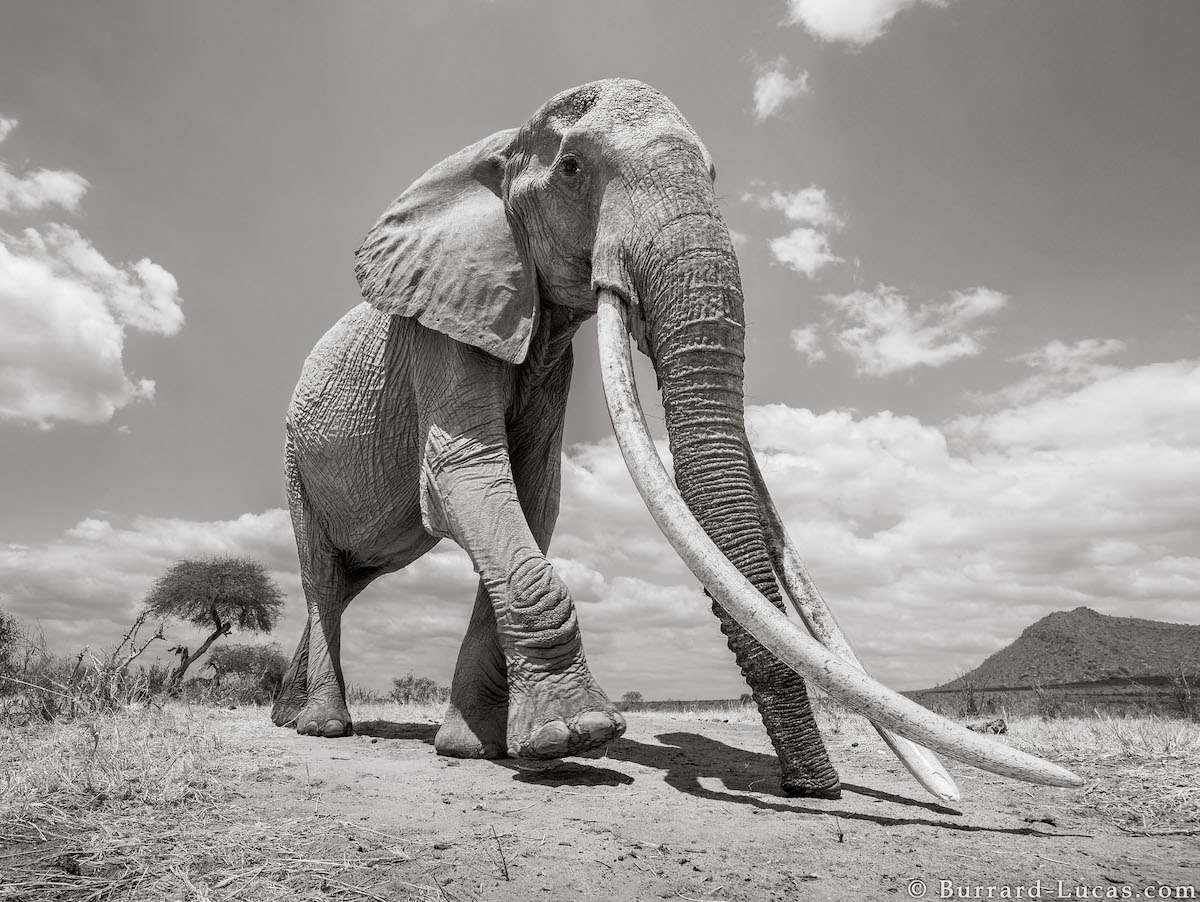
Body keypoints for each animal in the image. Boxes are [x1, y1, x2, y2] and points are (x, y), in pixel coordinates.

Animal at [276, 75, 1084, 796]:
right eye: (573, 170)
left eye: (716, 176)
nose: (812, 788)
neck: (496, 148)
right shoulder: (442, 328)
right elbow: (465, 479)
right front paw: (578, 737)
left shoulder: (547, 354)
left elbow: (532, 500)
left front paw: (477, 750)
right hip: (293, 459)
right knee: (323, 575)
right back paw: (322, 727)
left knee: (348, 580)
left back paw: (290, 716)